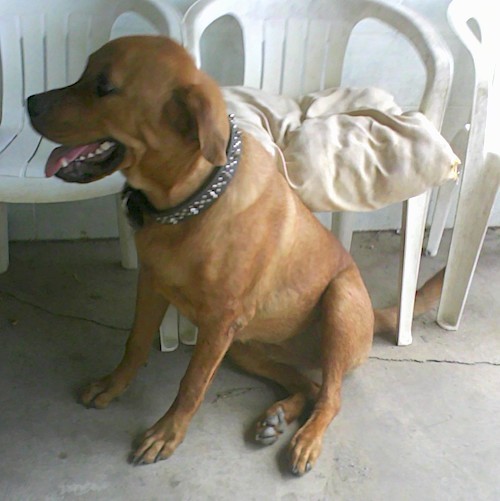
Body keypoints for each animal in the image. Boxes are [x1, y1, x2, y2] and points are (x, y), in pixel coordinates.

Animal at [27, 37, 442, 474]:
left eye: (104, 87)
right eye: (85, 74)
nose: (29, 102)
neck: (190, 203)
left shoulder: (220, 321)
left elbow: (191, 384)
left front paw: (167, 433)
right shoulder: (152, 285)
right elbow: (135, 343)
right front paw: (113, 384)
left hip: (337, 303)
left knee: (331, 396)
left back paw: (306, 439)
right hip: (243, 348)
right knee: (308, 385)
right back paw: (277, 415)